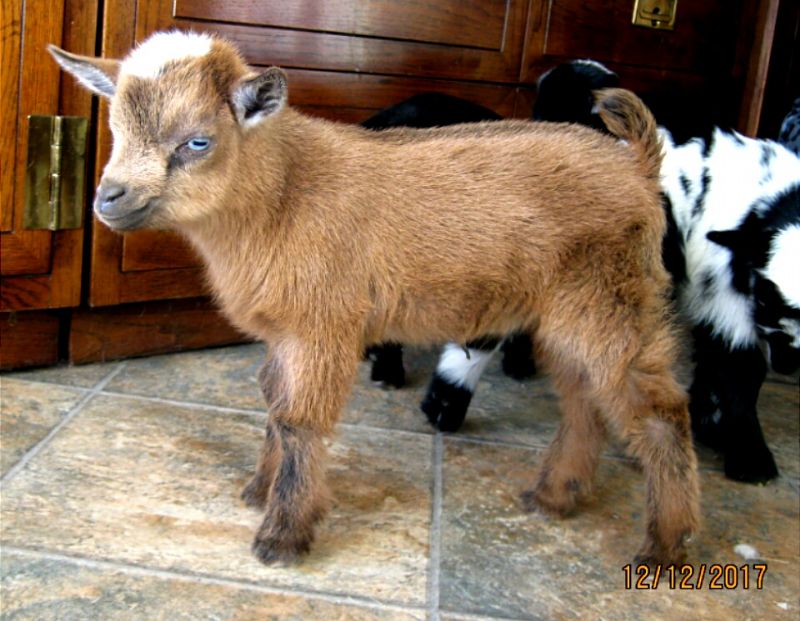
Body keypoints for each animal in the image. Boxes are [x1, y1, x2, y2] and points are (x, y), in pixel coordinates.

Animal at [49, 30, 699, 566]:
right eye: (116, 130)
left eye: (197, 141)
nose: (109, 199)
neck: (283, 191)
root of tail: (638, 164)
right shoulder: (287, 331)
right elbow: (274, 405)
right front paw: (261, 490)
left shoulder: (322, 324)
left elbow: (299, 420)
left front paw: (283, 534)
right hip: (572, 314)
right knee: (587, 399)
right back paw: (555, 497)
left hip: (613, 298)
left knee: (658, 409)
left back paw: (666, 545)